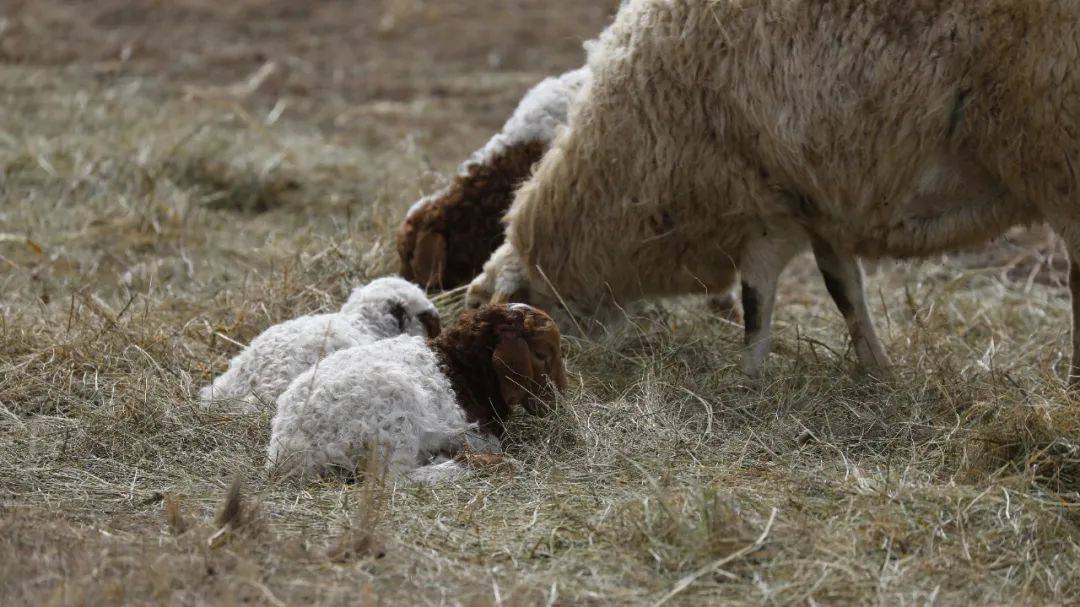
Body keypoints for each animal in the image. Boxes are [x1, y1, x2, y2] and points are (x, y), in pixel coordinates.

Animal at [466, 0, 1080, 380]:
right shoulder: (821, 207)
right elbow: (845, 291)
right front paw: (876, 370)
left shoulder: (763, 209)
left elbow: (757, 303)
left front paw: (748, 376)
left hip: (1057, 143)